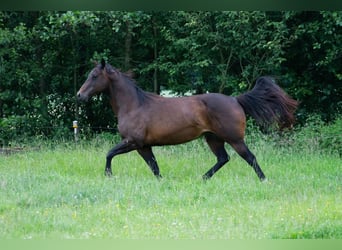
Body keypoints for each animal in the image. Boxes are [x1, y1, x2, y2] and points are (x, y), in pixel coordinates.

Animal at [77, 60, 296, 182]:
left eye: (94, 75)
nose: (79, 95)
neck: (135, 105)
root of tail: (235, 100)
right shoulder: (144, 146)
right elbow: (154, 167)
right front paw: (163, 183)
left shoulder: (133, 142)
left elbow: (109, 153)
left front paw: (108, 175)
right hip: (213, 138)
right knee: (223, 158)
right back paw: (203, 178)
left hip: (234, 139)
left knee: (250, 158)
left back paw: (264, 180)